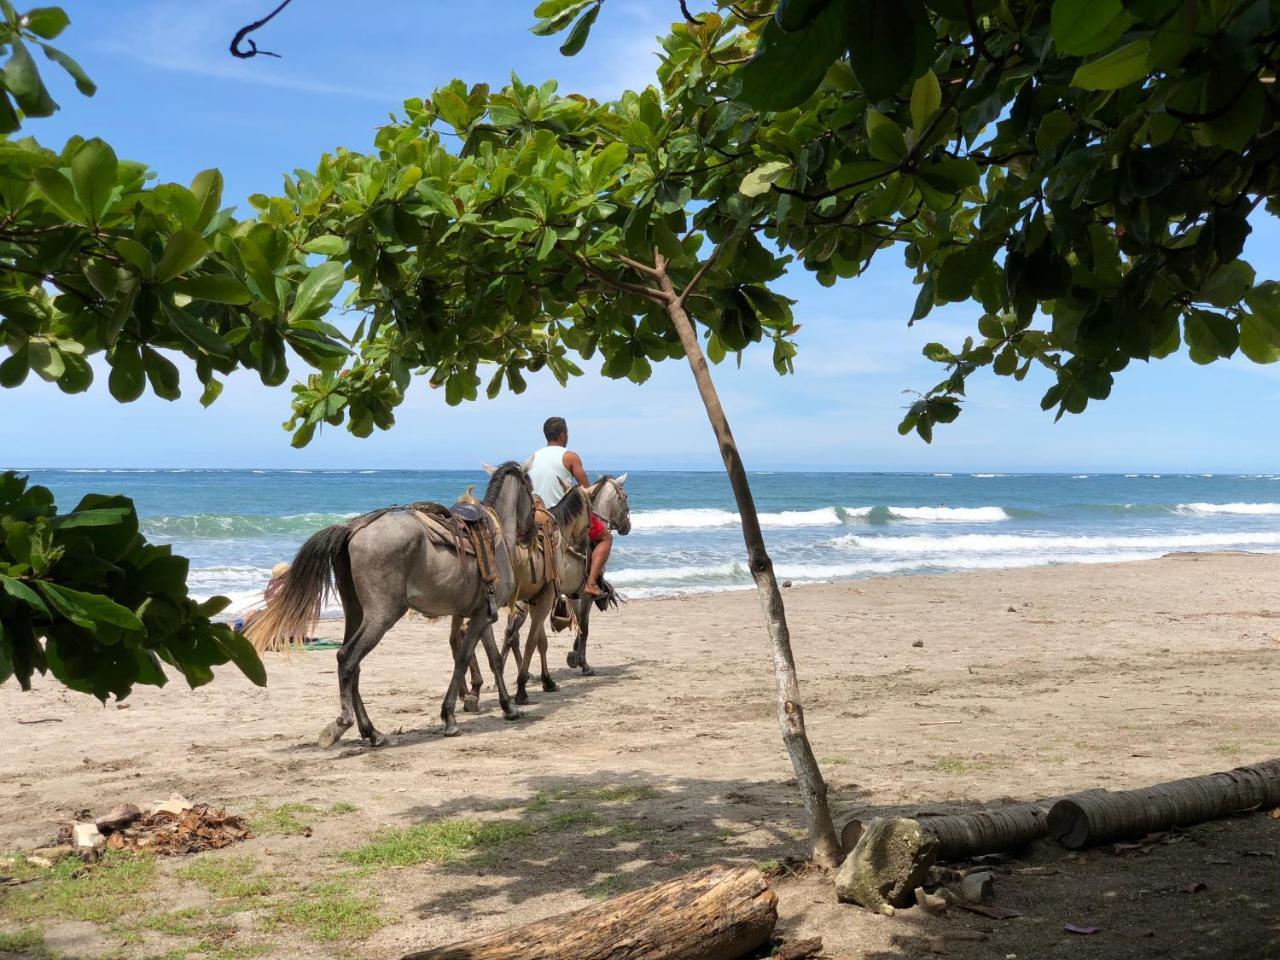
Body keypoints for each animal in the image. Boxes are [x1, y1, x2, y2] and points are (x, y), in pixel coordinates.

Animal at [243, 463, 535, 747]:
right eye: (531, 491)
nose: (531, 530)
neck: (495, 533)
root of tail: (353, 529)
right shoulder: (481, 617)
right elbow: (463, 659)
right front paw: (450, 717)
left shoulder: (482, 615)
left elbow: (494, 659)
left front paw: (508, 707)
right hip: (382, 616)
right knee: (347, 658)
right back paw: (343, 724)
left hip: (356, 613)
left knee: (352, 665)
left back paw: (371, 732)